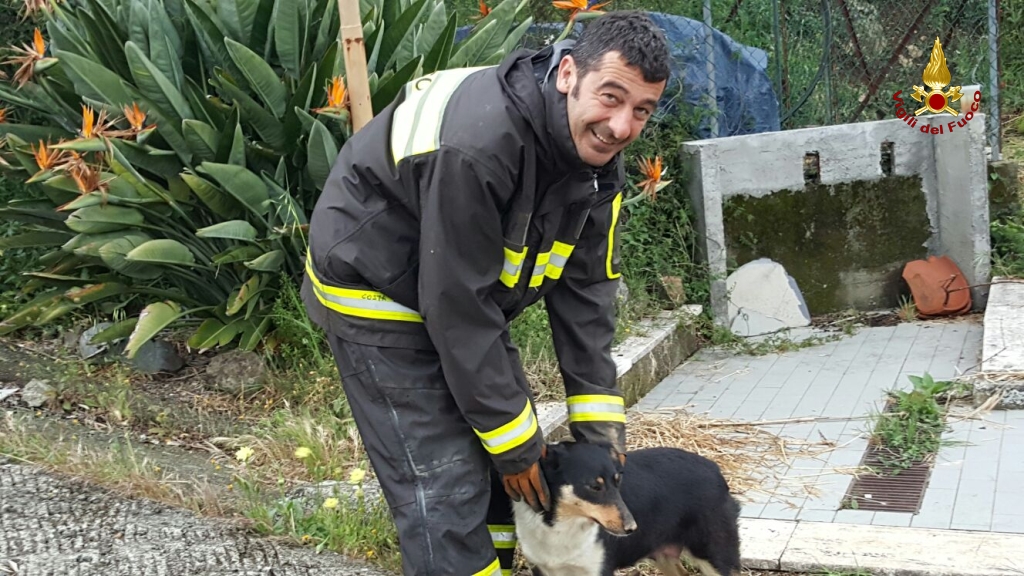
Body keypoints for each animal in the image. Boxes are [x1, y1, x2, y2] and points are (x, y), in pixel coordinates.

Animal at [516, 436, 741, 569]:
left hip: (716, 554)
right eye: (594, 486)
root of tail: (714, 468)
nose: (632, 528)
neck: (563, 526)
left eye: (618, 481)